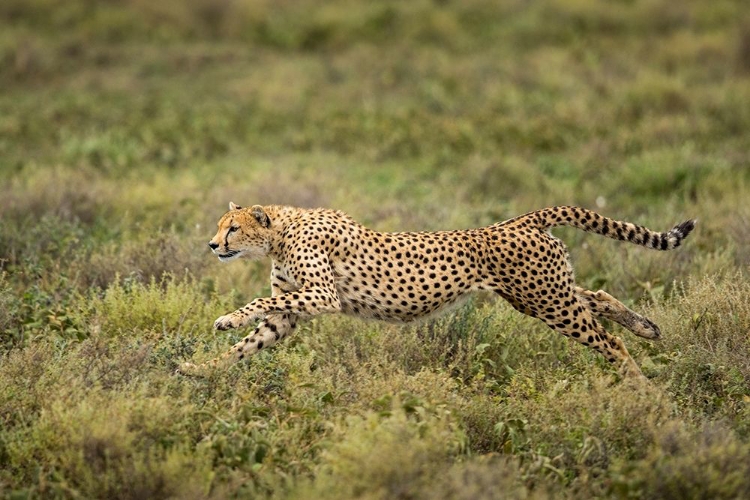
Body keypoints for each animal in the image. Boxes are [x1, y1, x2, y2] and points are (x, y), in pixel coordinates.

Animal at [179, 203, 696, 378]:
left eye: (232, 228)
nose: (212, 244)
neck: (281, 231)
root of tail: (521, 219)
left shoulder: (322, 296)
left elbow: (261, 302)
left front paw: (226, 318)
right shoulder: (292, 312)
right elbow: (251, 343)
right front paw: (199, 370)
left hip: (547, 301)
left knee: (607, 341)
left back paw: (642, 389)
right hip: (538, 296)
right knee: (599, 299)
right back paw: (647, 329)